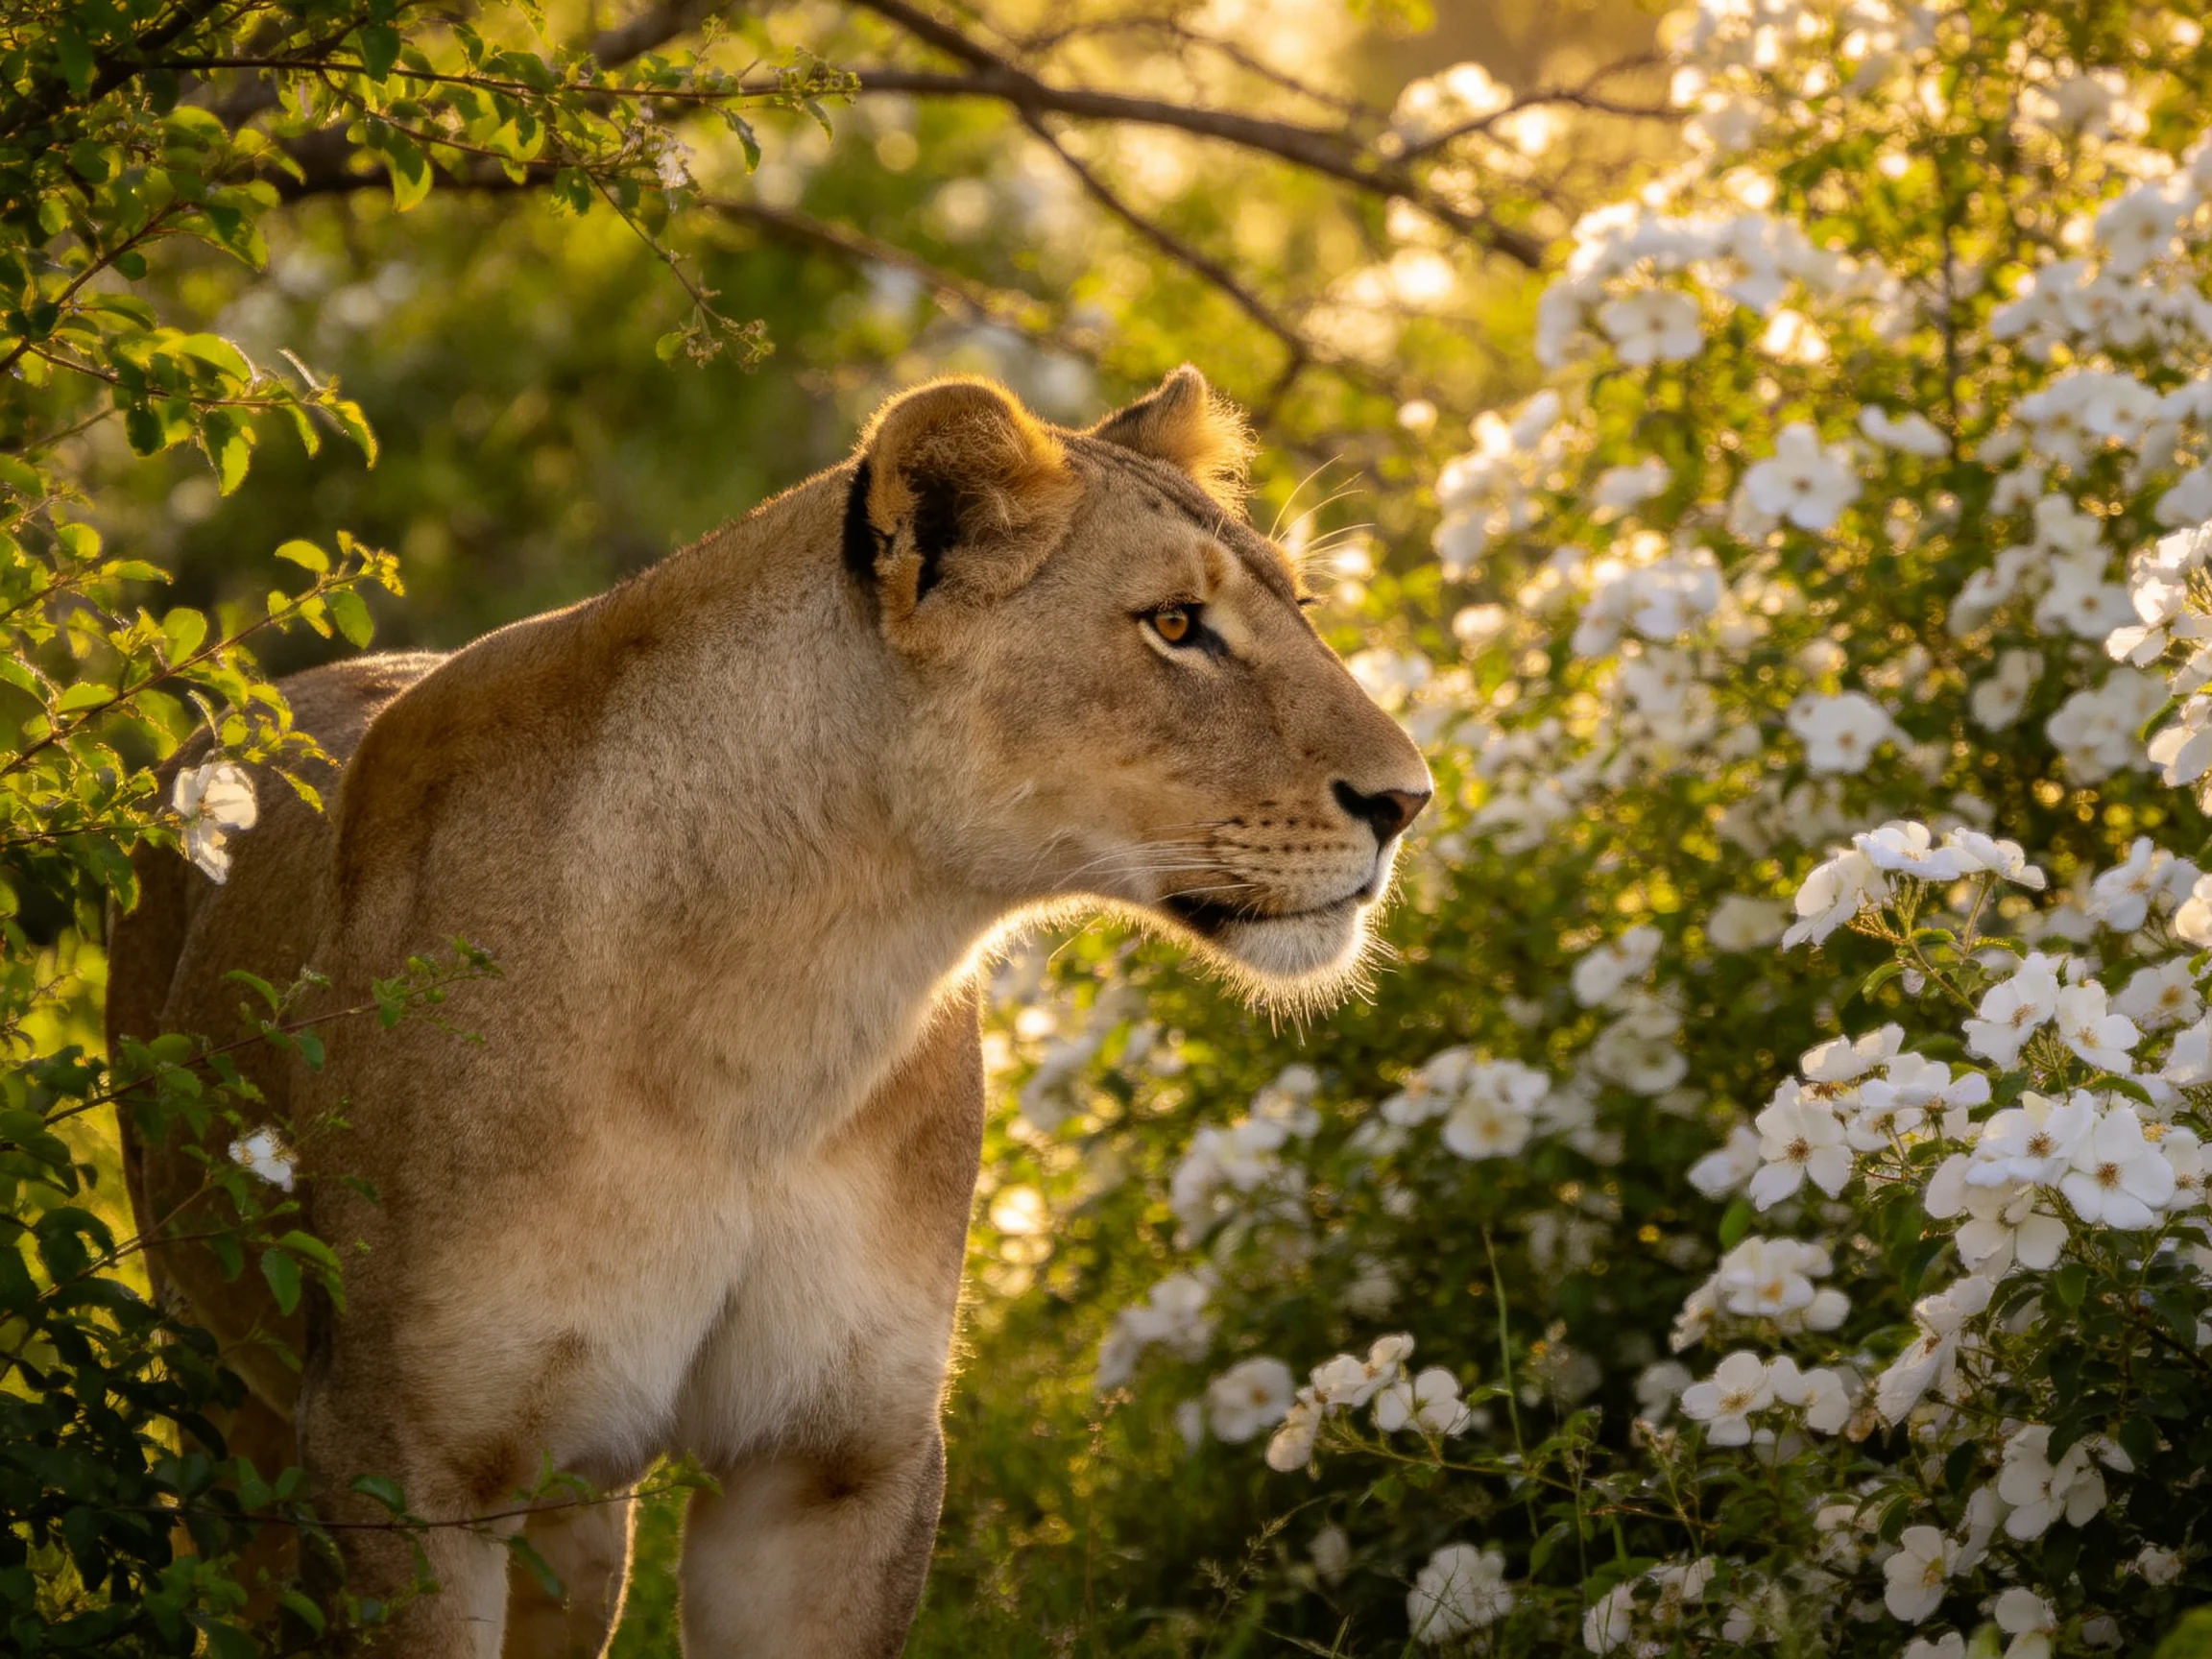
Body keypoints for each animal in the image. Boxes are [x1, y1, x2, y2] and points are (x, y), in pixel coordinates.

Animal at [107, 367, 1431, 1657]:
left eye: (1301, 604)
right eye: (1174, 626)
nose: (1407, 801)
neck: (790, 1012)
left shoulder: (833, 1467)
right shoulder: (401, 1456)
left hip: (574, 1512)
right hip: (224, 1398)